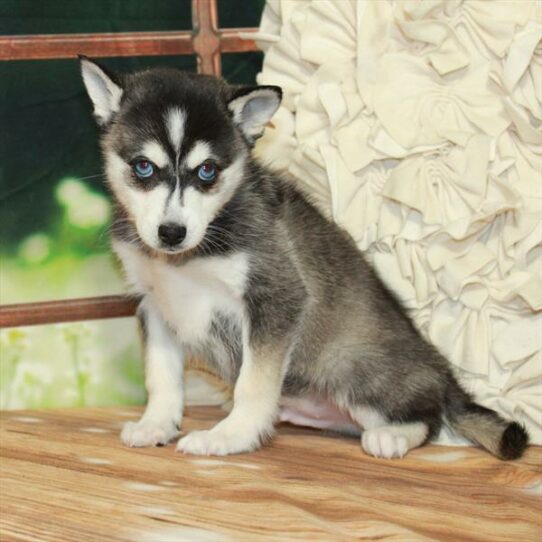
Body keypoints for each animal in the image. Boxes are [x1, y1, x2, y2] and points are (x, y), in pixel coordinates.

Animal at [81, 57, 532, 462]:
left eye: (207, 171)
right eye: (143, 166)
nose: (171, 232)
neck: (190, 257)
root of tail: (444, 373)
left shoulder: (276, 295)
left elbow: (253, 384)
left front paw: (231, 437)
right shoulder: (155, 304)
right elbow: (161, 378)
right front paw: (157, 425)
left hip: (354, 368)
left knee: (428, 417)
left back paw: (392, 436)